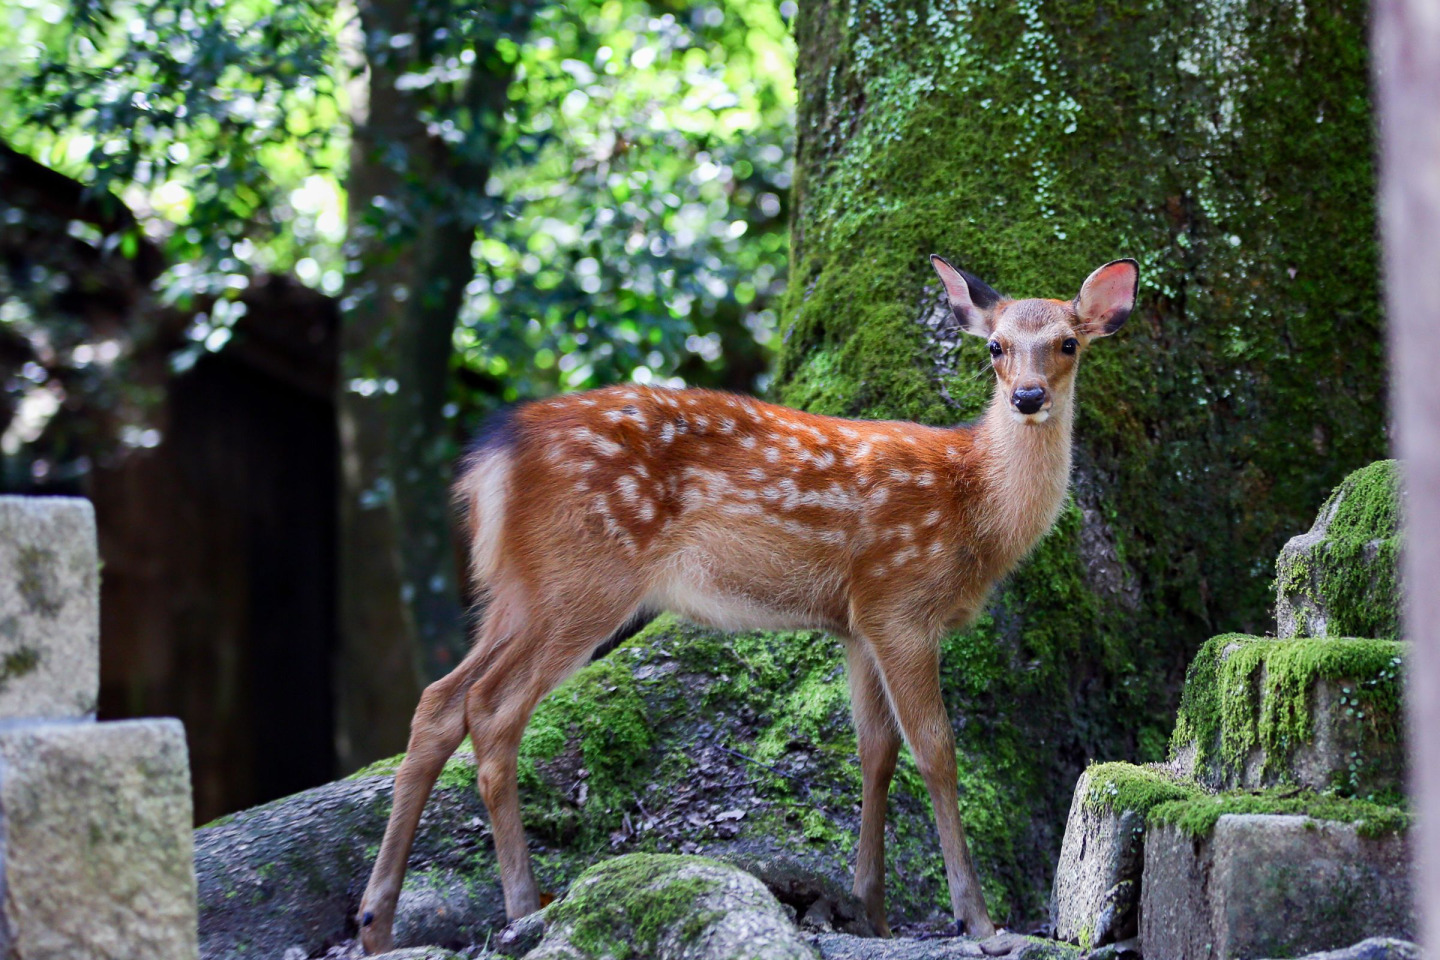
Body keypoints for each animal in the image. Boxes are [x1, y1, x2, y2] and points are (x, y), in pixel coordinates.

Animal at [356, 255, 1139, 952]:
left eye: (1068, 343)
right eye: (995, 346)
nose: (1028, 398)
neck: (975, 508)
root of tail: (496, 451)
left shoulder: (857, 624)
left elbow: (875, 751)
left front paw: (872, 912)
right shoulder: (899, 601)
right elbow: (937, 750)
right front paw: (976, 920)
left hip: (519, 587)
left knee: (441, 698)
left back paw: (377, 921)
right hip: (584, 575)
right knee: (493, 707)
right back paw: (522, 904)